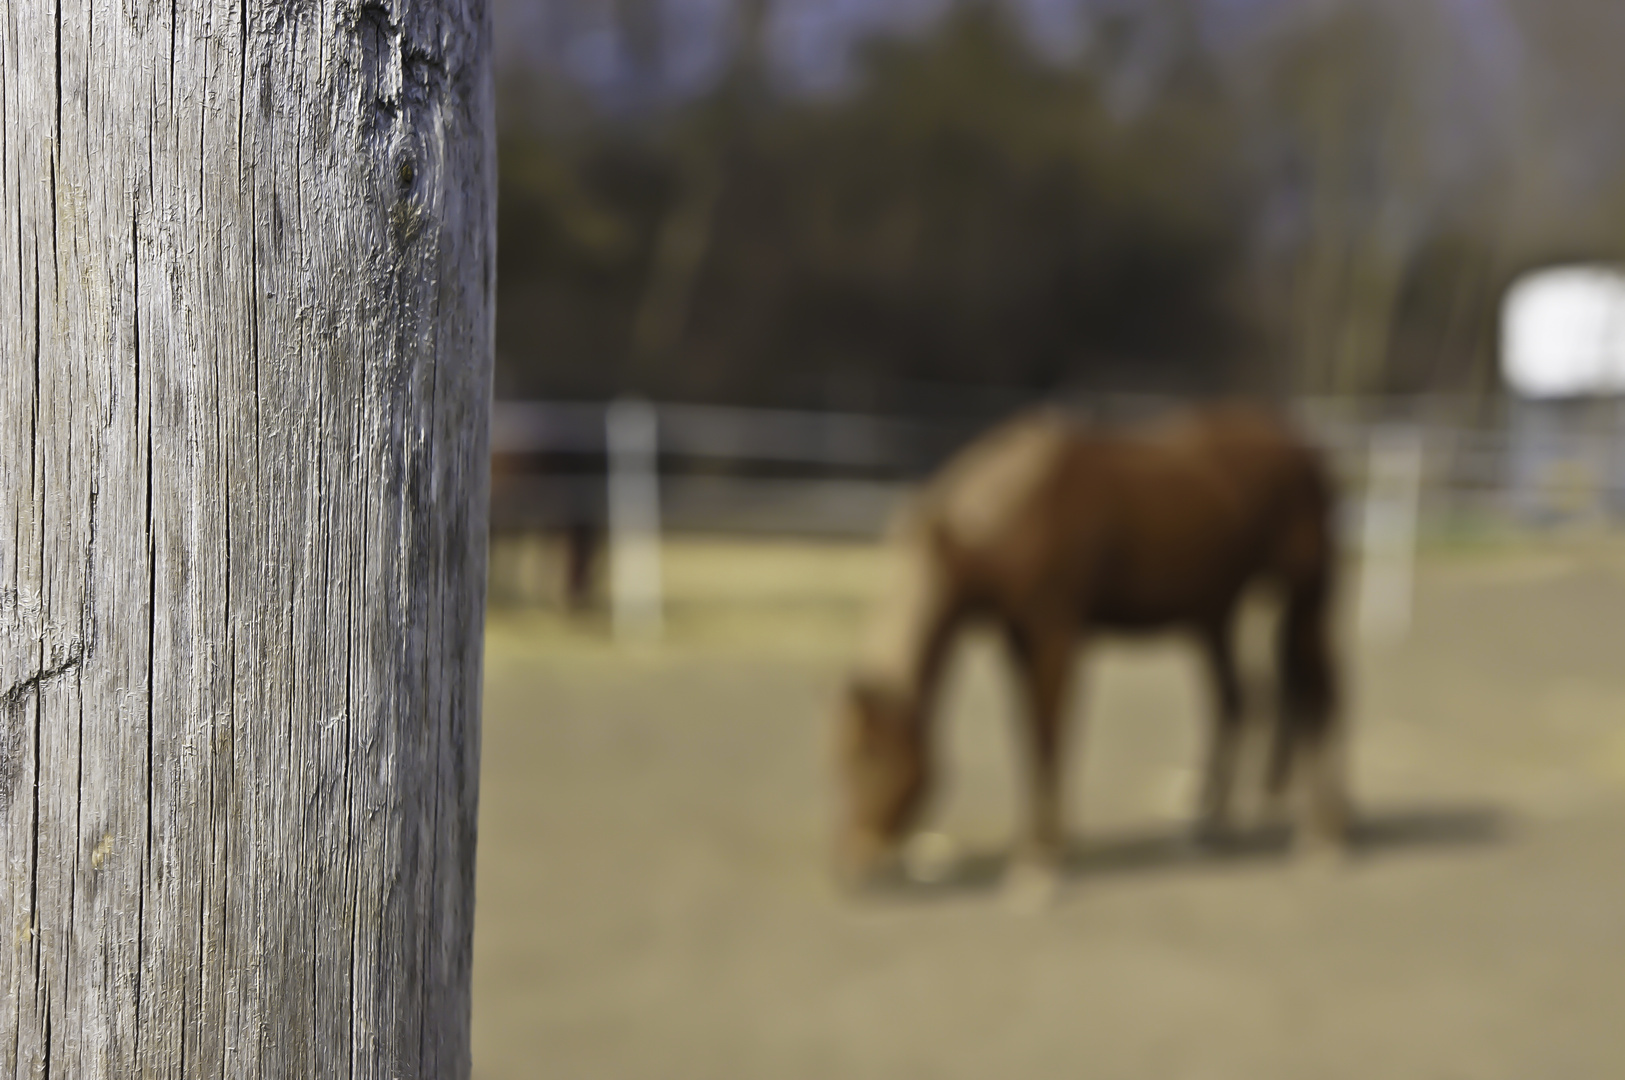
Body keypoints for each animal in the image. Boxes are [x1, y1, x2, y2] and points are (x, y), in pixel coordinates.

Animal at [832, 404, 1352, 889]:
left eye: (870, 755)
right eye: (843, 757)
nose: (854, 864)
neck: (1018, 508)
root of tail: (1306, 452)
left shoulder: (1054, 634)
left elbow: (1049, 737)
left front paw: (1040, 860)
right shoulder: (1017, 639)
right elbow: (1030, 738)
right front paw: (1045, 846)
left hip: (1303, 598)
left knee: (1320, 699)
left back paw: (1322, 839)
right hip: (1220, 613)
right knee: (1236, 701)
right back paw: (1210, 827)